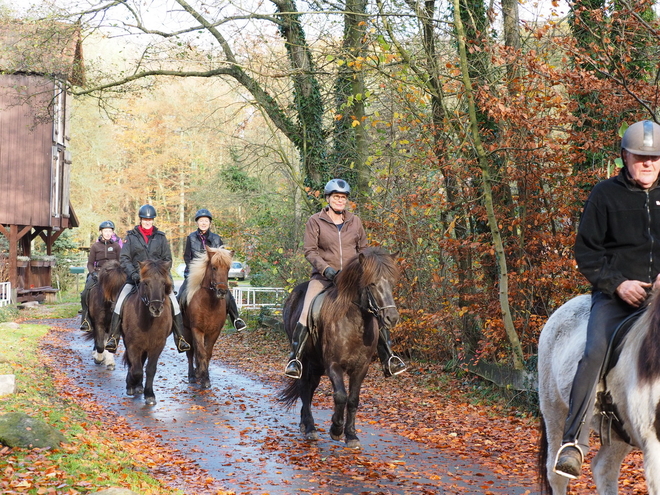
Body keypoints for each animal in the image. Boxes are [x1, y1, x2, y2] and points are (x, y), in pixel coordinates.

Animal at [121, 260, 173, 406]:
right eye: (145, 283)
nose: (156, 308)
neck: (148, 321)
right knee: (134, 364)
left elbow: (150, 369)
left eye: (163, 283)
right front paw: (131, 384)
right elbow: (136, 370)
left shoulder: (157, 345)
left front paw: (149, 394)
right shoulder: (132, 345)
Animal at [179, 246, 233, 390]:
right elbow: (200, 353)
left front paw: (204, 376)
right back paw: (192, 375)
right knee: (191, 352)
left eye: (228, 268)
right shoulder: (197, 330)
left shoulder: (214, 332)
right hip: (187, 331)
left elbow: (207, 353)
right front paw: (204, 379)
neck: (209, 304)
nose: (222, 291)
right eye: (214, 267)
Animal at [278, 248, 398, 450]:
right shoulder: (333, 365)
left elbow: (353, 399)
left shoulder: (361, 367)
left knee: (310, 386)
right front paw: (336, 428)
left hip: (315, 363)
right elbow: (340, 396)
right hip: (304, 360)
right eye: (372, 283)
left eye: (391, 282)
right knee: (304, 387)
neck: (355, 324)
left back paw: (304, 423)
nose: (392, 318)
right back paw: (310, 428)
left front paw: (351, 435)